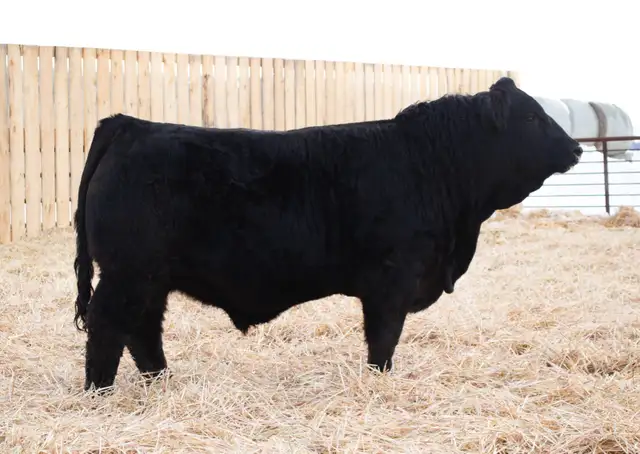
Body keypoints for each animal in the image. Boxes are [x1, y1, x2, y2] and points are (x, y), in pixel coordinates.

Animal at [72, 77, 583, 393]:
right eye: (532, 118)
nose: (576, 148)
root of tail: (130, 125)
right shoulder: (393, 278)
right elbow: (383, 339)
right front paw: (379, 382)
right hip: (127, 273)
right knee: (108, 325)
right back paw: (99, 392)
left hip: (149, 279)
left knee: (143, 330)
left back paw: (161, 382)